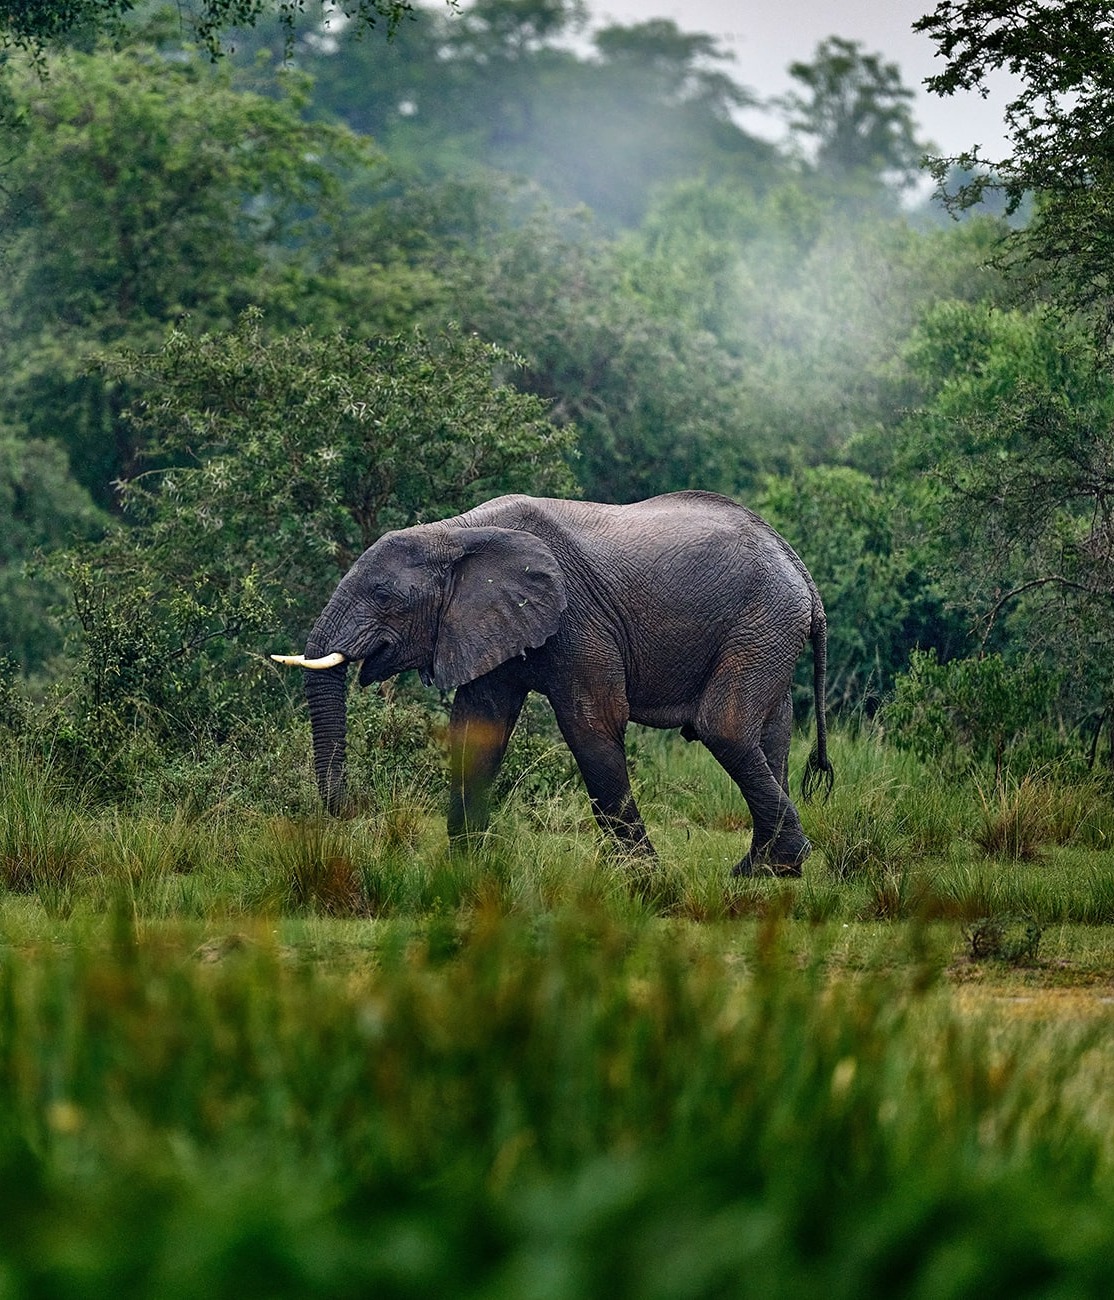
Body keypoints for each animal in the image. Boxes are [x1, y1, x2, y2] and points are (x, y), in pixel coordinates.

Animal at [272, 491, 833, 876]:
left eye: (384, 595)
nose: (353, 809)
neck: (456, 533)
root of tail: (799, 567)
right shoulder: (488, 622)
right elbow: (477, 729)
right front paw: (465, 872)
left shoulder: (579, 622)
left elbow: (591, 728)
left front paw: (647, 879)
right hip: (770, 629)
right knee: (770, 735)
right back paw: (769, 871)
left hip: (762, 619)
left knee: (725, 728)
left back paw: (768, 868)